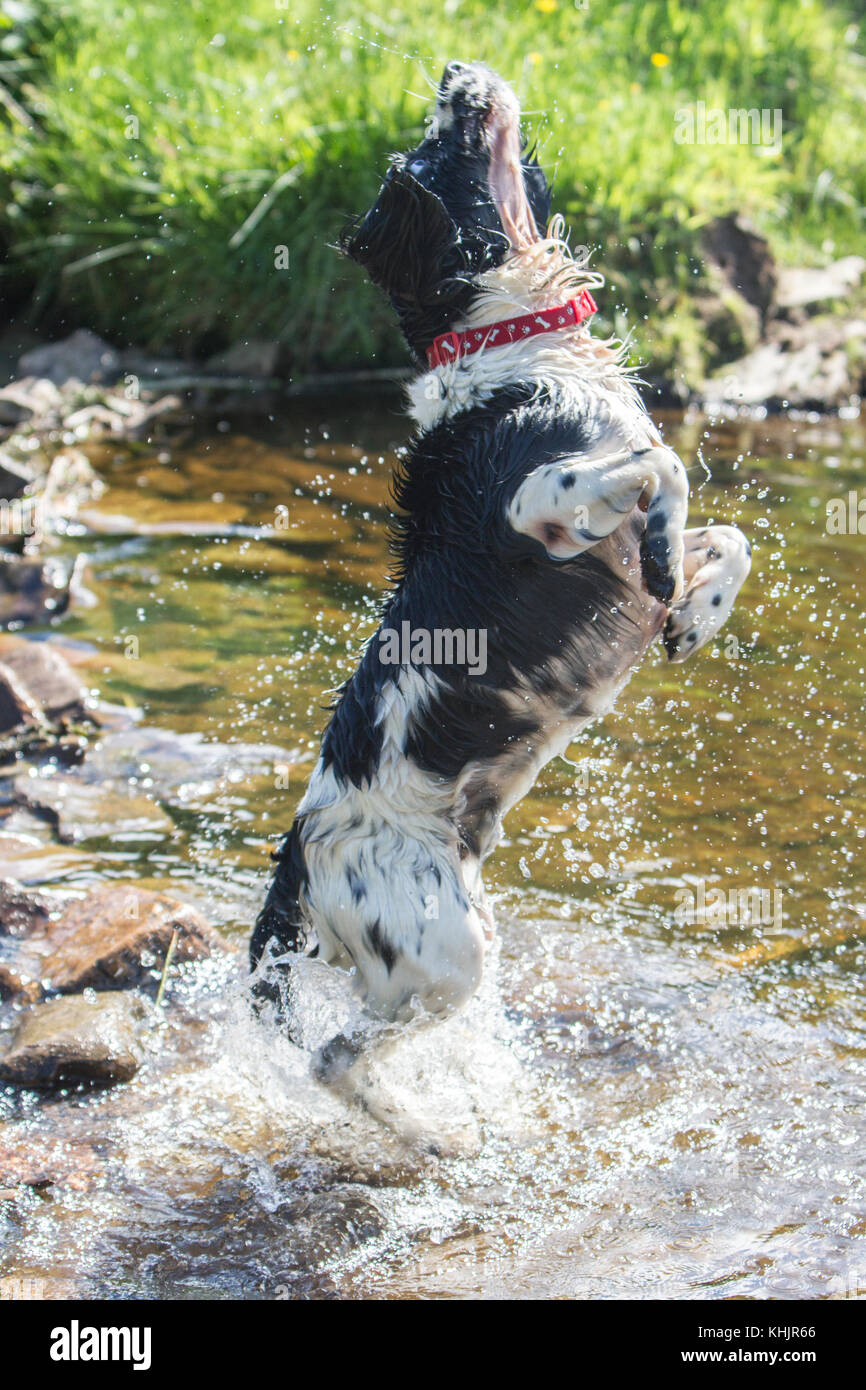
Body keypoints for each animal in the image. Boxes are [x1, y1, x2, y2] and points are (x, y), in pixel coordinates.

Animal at [248, 62, 745, 1084]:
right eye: (434, 146)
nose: (455, 73)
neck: (517, 349)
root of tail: (297, 865)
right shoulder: (533, 505)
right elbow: (664, 465)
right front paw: (673, 555)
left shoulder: (612, 550)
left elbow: (727, 540)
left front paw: (696, 613)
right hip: (442, 954)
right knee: (338, 1059)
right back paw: (424, 1122)